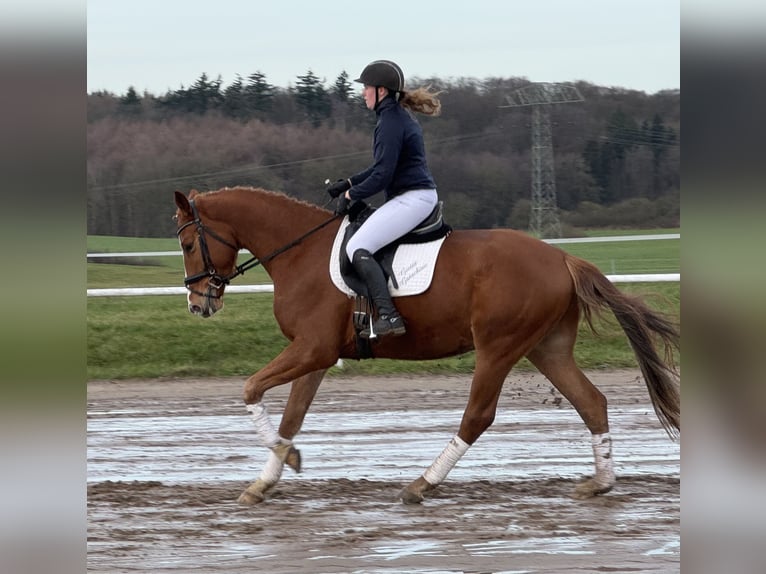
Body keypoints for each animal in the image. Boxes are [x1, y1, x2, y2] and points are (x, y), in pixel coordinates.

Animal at [172, 187, 680, 506]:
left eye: (187, 243)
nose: (198, 304)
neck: (300, 252)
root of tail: (561, 256)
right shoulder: (314, 355)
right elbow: (291, 417)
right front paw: (267, 478)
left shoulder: (313, 350)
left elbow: (251, 389)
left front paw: (284, 460)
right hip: (546, 348)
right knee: (591, 402)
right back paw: (600, 485)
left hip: (498, 346)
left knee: (478, 416)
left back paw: (421, 484)